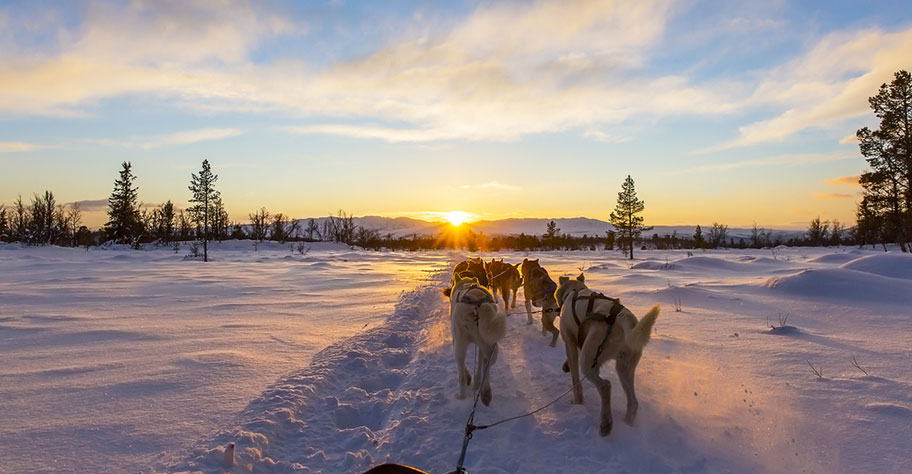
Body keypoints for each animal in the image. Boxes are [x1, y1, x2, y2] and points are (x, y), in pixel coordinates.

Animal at [552, 272, 660, 436]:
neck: (574, 291)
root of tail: (623, 318)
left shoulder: (570, 343)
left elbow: (576, 381)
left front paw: (577, 402)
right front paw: (566, 366)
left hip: (588, 362)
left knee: (605, 386)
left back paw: (606, 423)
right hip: (624, 367)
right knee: (633, 402)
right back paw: (627, 424)